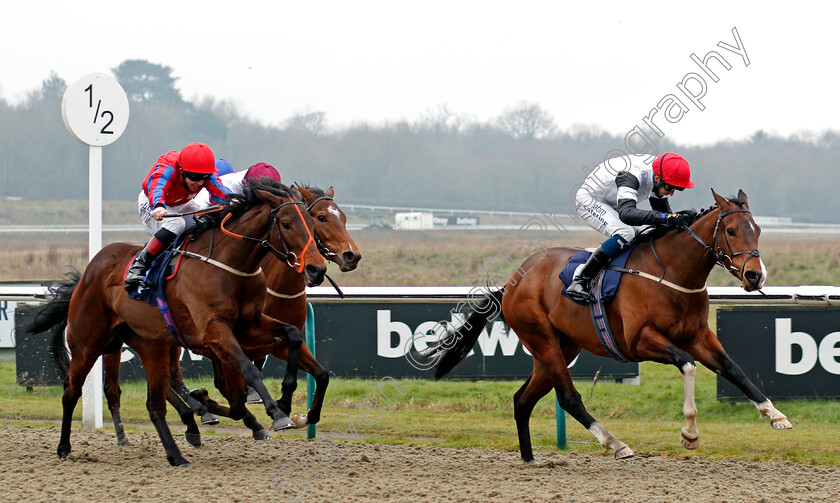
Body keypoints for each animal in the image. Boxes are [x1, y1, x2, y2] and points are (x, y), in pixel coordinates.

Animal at [28, 181, 324, 468]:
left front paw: (287, 400)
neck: (228, 265)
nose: (317, 269)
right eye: (286, 223)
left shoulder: (249, 326)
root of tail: (89, 272)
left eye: (313, 223)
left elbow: (293, 336)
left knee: (157, 399)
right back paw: (64, 447)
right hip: (87, 344)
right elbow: (250, 371)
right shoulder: (215, 331)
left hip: (150, 345)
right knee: (71, 393)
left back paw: (183, 441)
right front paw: (277, 413)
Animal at [430, 191, 792, 462]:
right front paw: (689, 433)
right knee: (568, 398)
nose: (755, 276)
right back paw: (616, 444)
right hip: (541, 338)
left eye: (758, 230)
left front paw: (775, 415)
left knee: (522, 399)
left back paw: (529, 458)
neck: (672, 273)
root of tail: (511, 283)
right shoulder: (640, 341)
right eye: (731, 231)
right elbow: (688, 365)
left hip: (561, 346)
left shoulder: (697, 336)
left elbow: (733, 369)